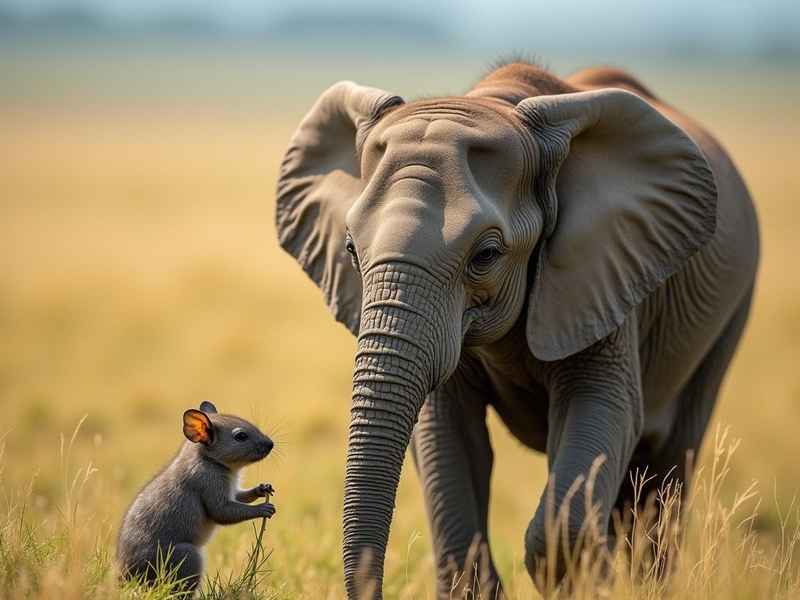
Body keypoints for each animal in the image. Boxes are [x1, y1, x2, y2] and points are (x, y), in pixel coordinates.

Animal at [275, 60, 759, 598]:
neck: (498, 102)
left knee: (667, 470)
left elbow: (605, 410)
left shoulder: (605, 273)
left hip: (728, 313)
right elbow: (448, 438)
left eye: (486, 255)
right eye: (351, 250)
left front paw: (590, 577)